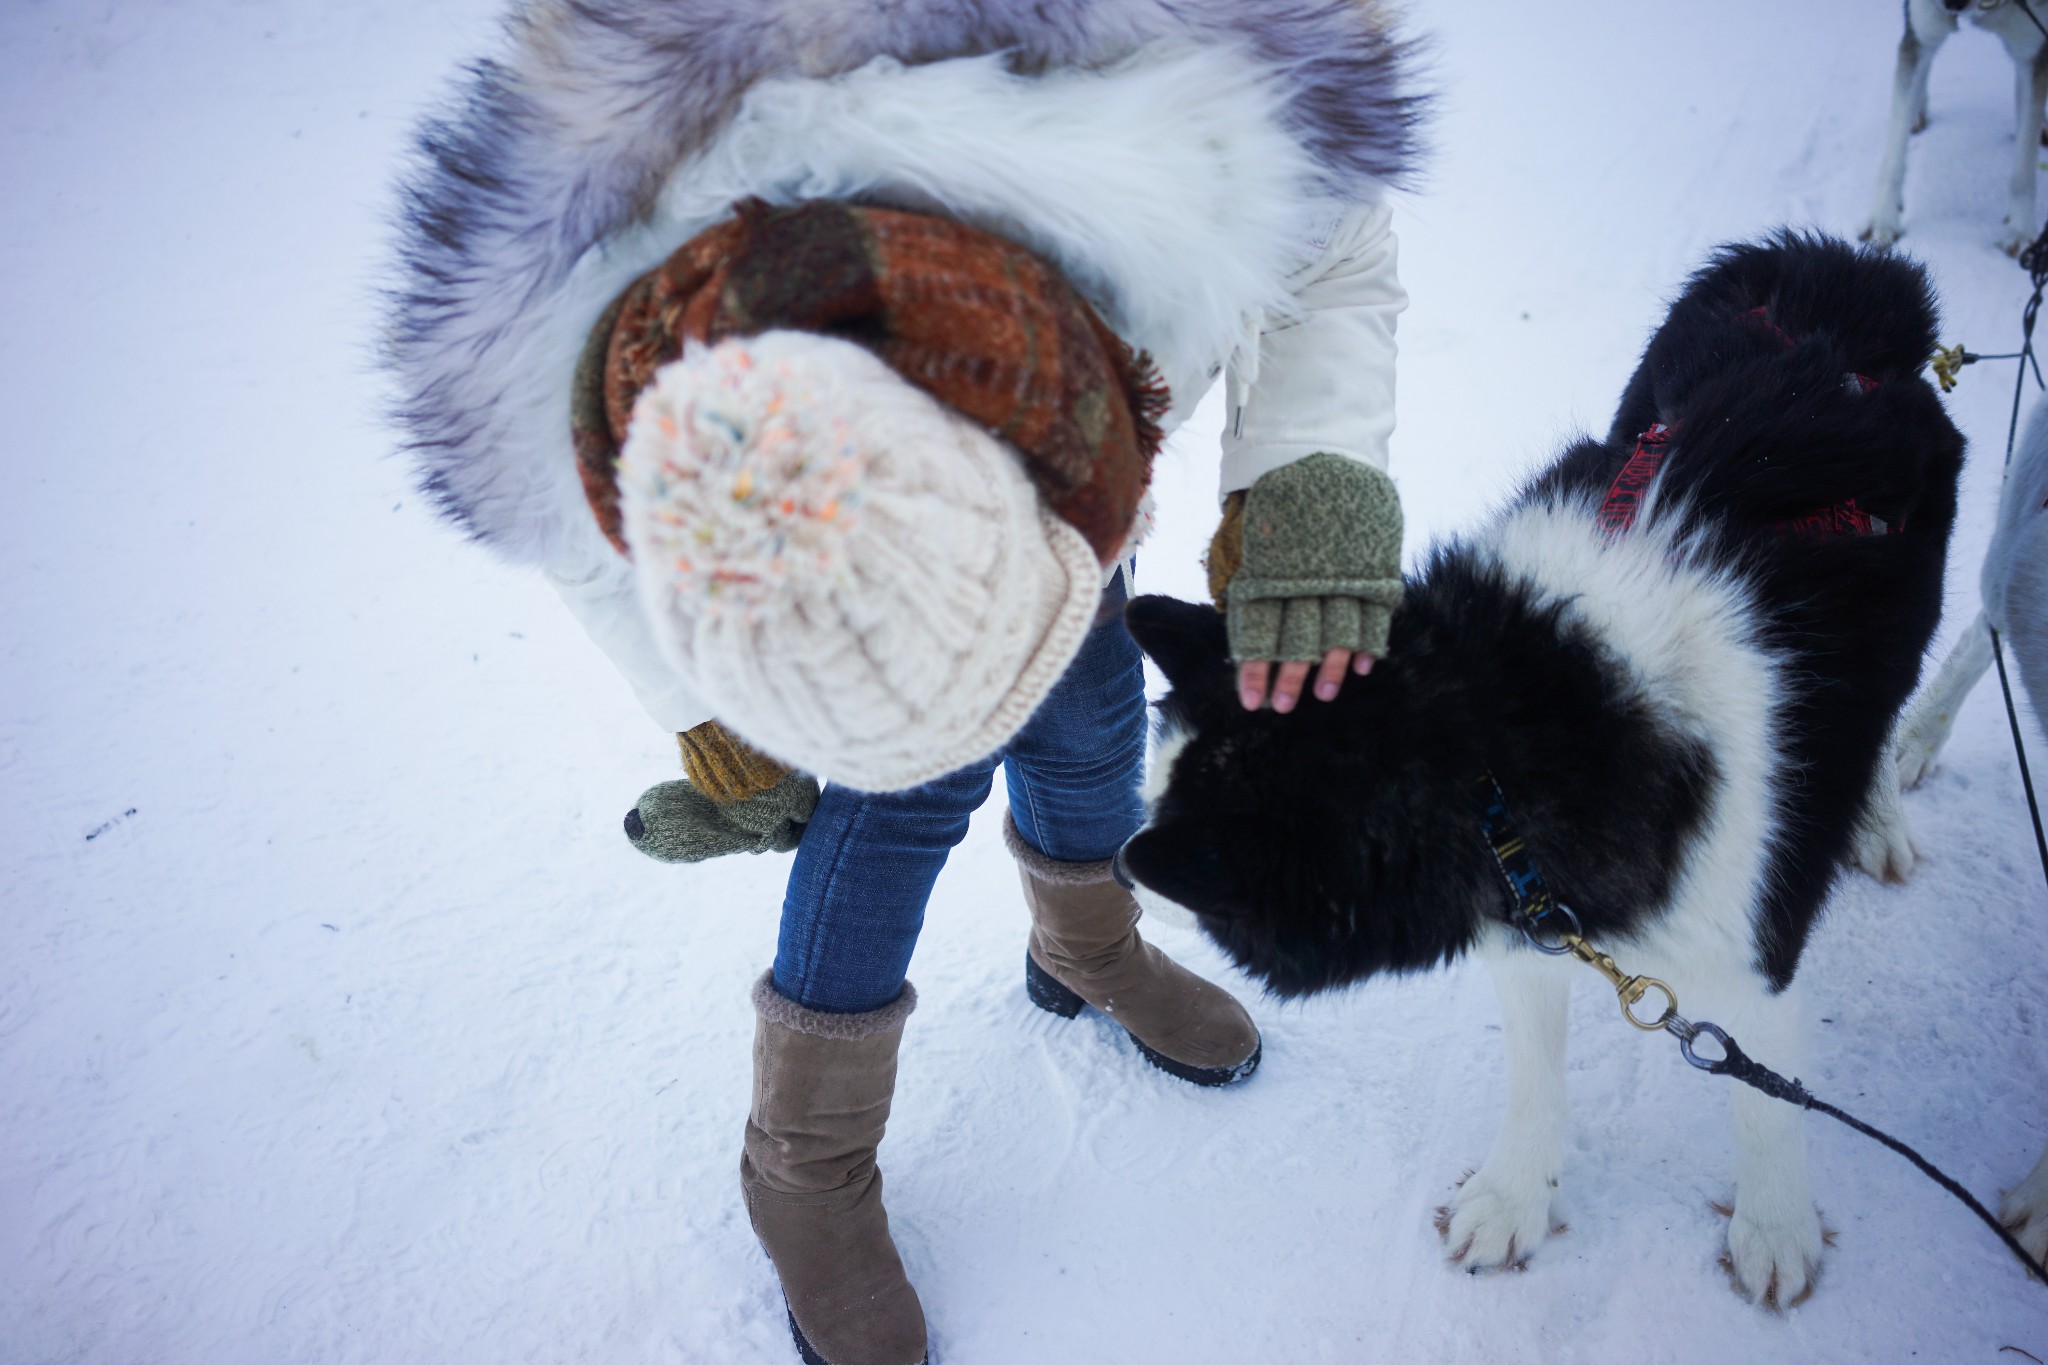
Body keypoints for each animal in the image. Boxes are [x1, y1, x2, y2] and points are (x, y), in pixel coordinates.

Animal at [1130, 237, 1957, 1309]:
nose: (1125, 873)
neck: (1491, 739)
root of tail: (1840, 274)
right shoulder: (1528, 916)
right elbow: (1534, 1076)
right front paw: (1513, 1197)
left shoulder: (1751, 934)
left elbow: (1767, 1104)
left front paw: (1774, 1226)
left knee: (1887, 712)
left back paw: (1878, 817)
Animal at [1867, 0, 2039, 255]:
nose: (1949, 6)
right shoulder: (1921, 27)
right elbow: (1894, 153)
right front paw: (1883, 222)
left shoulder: (2031, 50)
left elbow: (2024, 166)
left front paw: (2020, 230)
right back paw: (1917, 110)